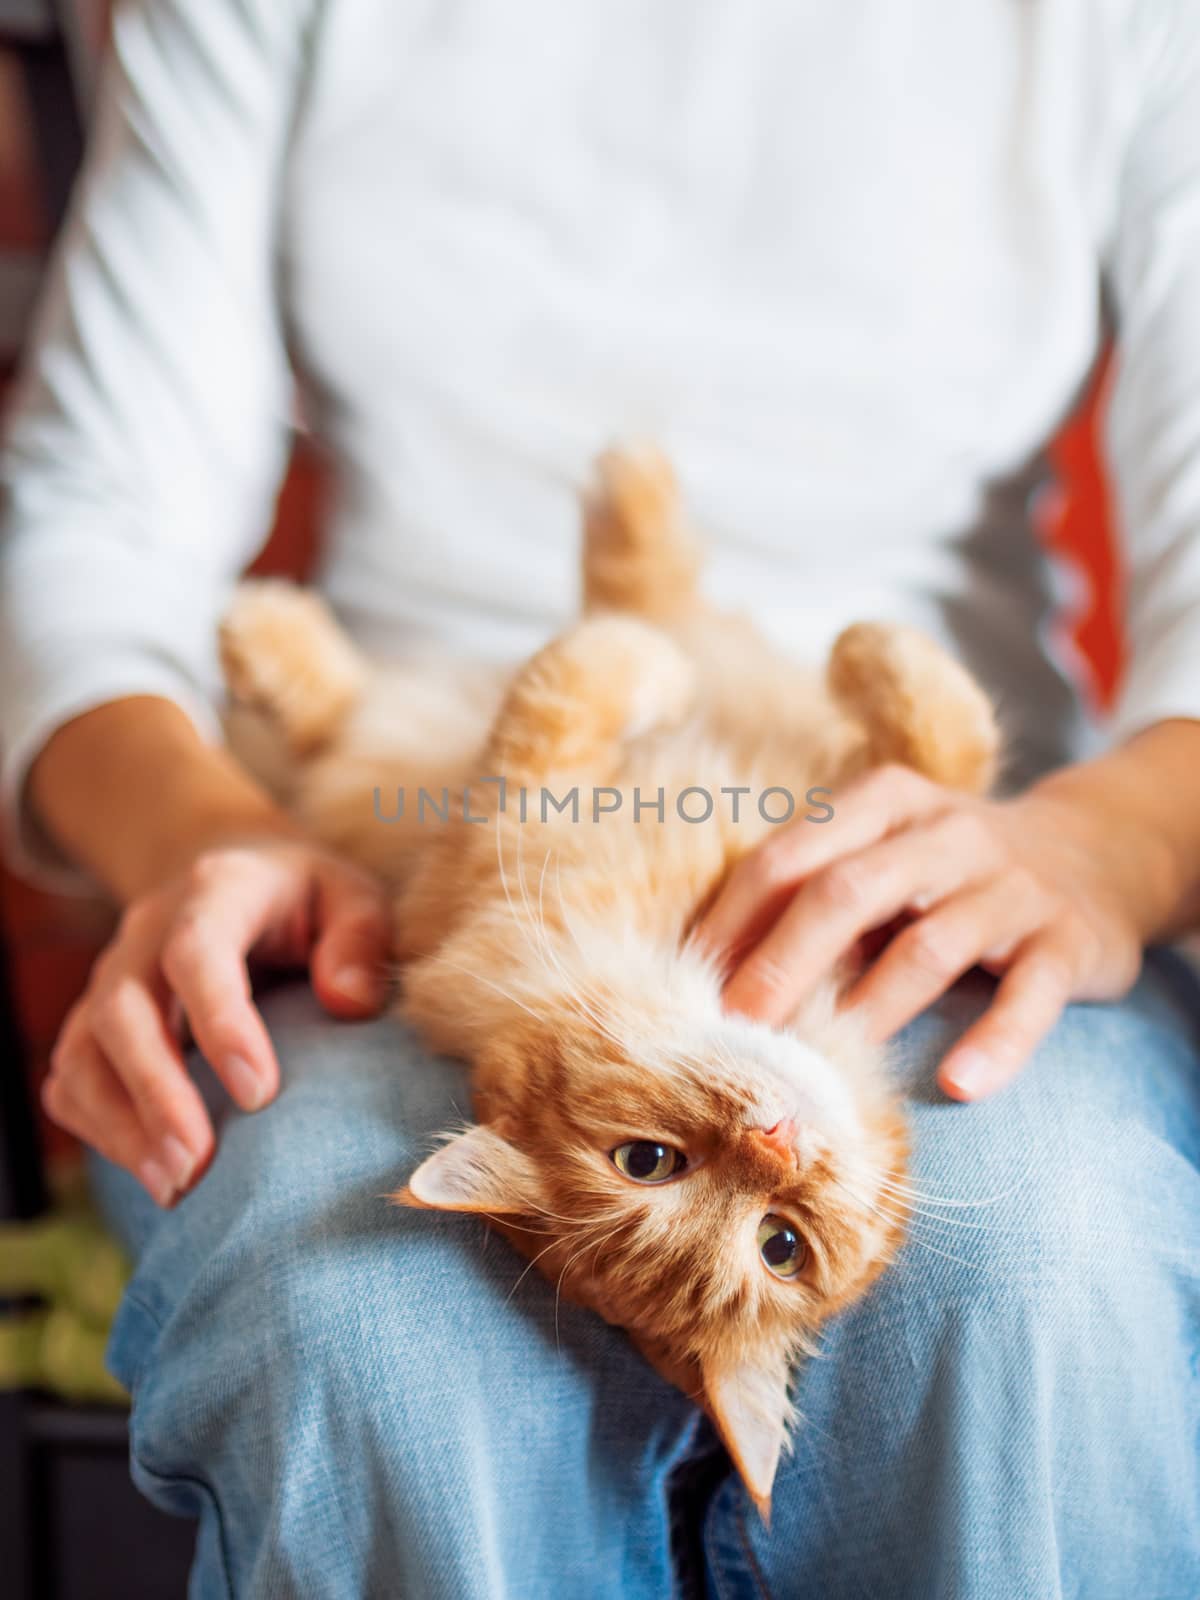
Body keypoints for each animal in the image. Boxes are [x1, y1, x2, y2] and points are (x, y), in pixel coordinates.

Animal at [220, 448, 998, 1510]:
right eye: (649, 1164)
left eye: (781, 1245)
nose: (778, 1144)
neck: (676, 956)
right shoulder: (498, 828)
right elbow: (574, 675)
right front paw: (699, 655)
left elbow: (943, 747)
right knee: (347, 710)